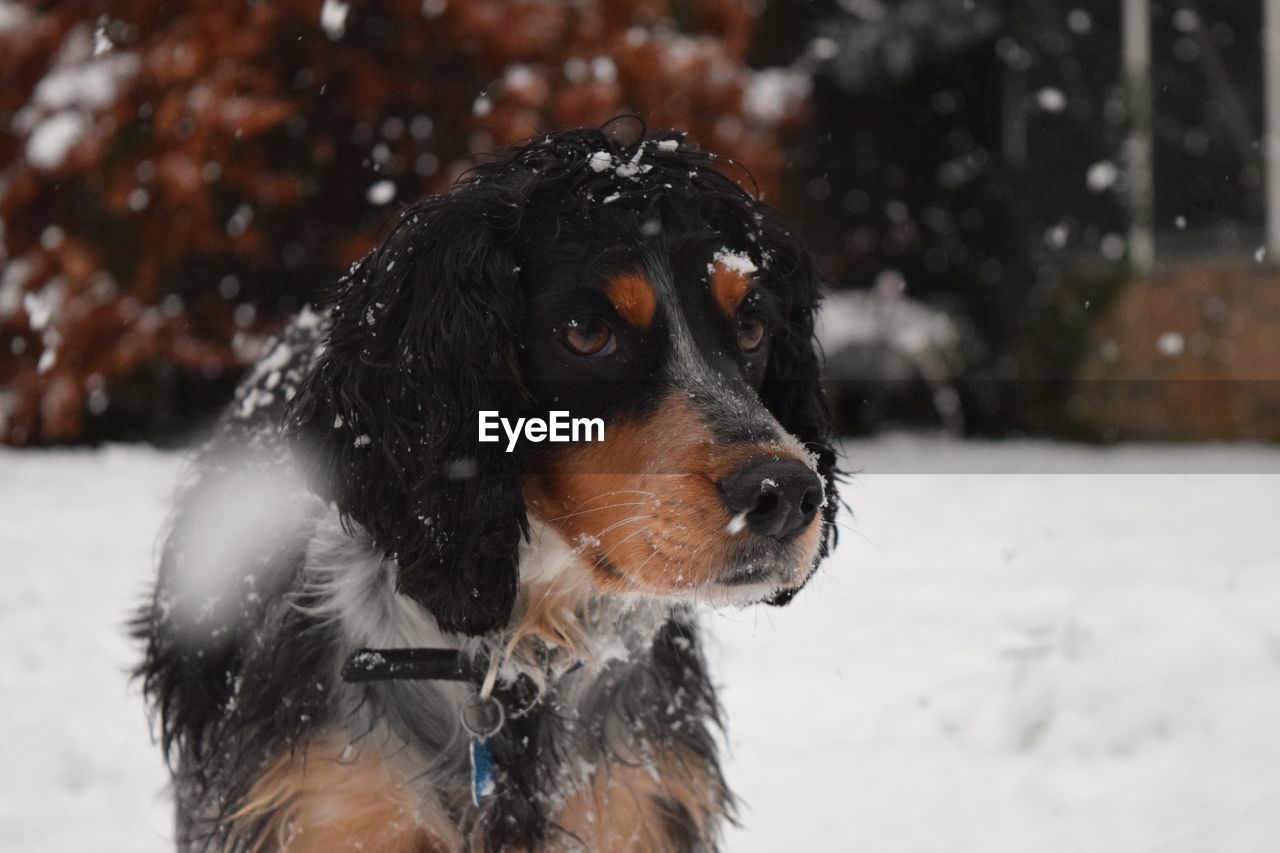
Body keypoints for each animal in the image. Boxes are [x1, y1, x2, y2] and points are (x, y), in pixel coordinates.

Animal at [137, 121, 839, 850]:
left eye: (752, 327)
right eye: (586, 333)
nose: (786, 495)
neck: (519, 652)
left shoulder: (635, 803)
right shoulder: (331, 809)